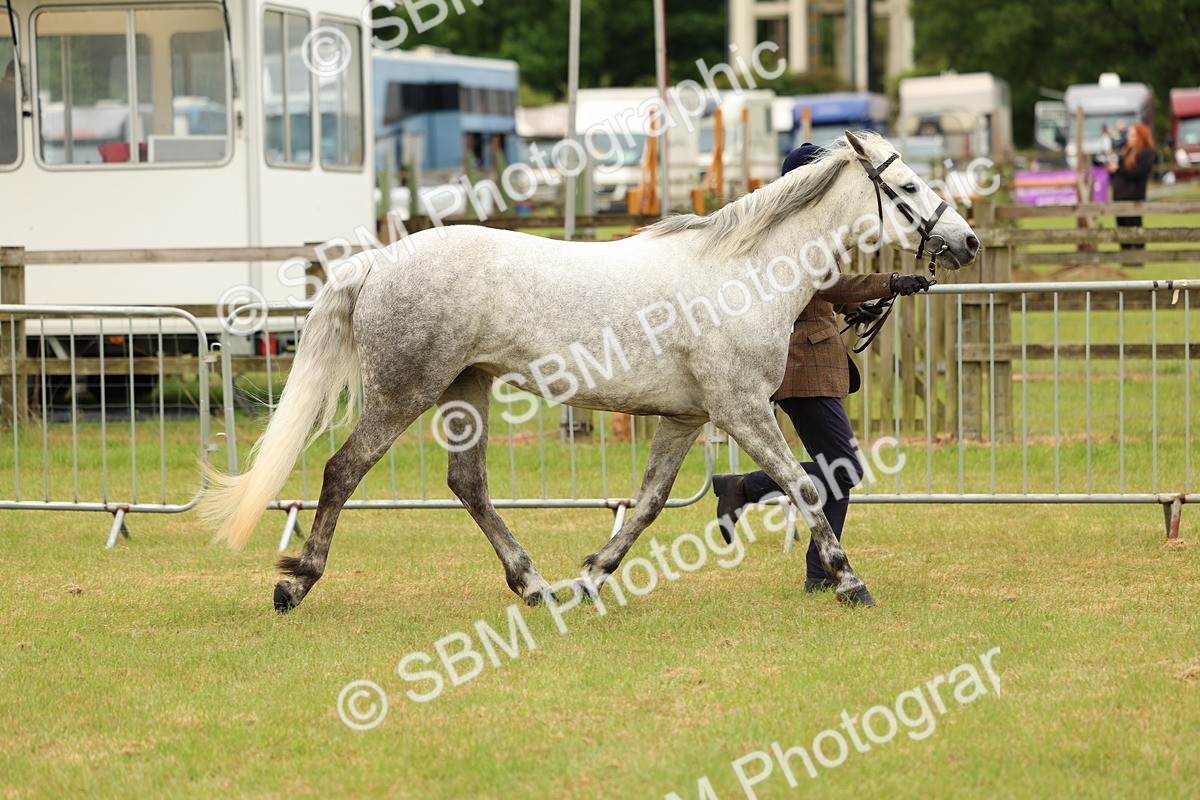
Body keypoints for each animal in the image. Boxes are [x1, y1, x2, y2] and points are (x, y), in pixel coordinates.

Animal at [199, 131, 979, 612]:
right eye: (909, 184)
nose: (966, 240)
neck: (743, 274)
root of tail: (376, 261)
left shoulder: (686, 418)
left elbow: (652, 501)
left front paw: (594, 577)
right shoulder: (742, 409)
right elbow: (806, 486)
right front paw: (850, 583)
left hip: (466, 388)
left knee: (467, 483)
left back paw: (535, 585)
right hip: (405, 390)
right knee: (343, 470)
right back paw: (295, 584)